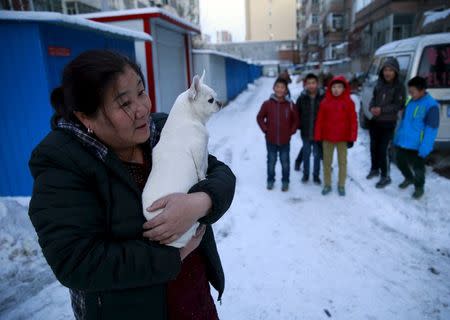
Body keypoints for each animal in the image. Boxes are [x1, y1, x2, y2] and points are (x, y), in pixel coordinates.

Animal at [142, 72, 223, 248]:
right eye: (210, 100)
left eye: (216, 97)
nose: (220, 102)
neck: (188, 116)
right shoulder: (199, 151)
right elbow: (201, 169)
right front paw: (204, 179)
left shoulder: (203, 151)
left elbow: (206, 163)